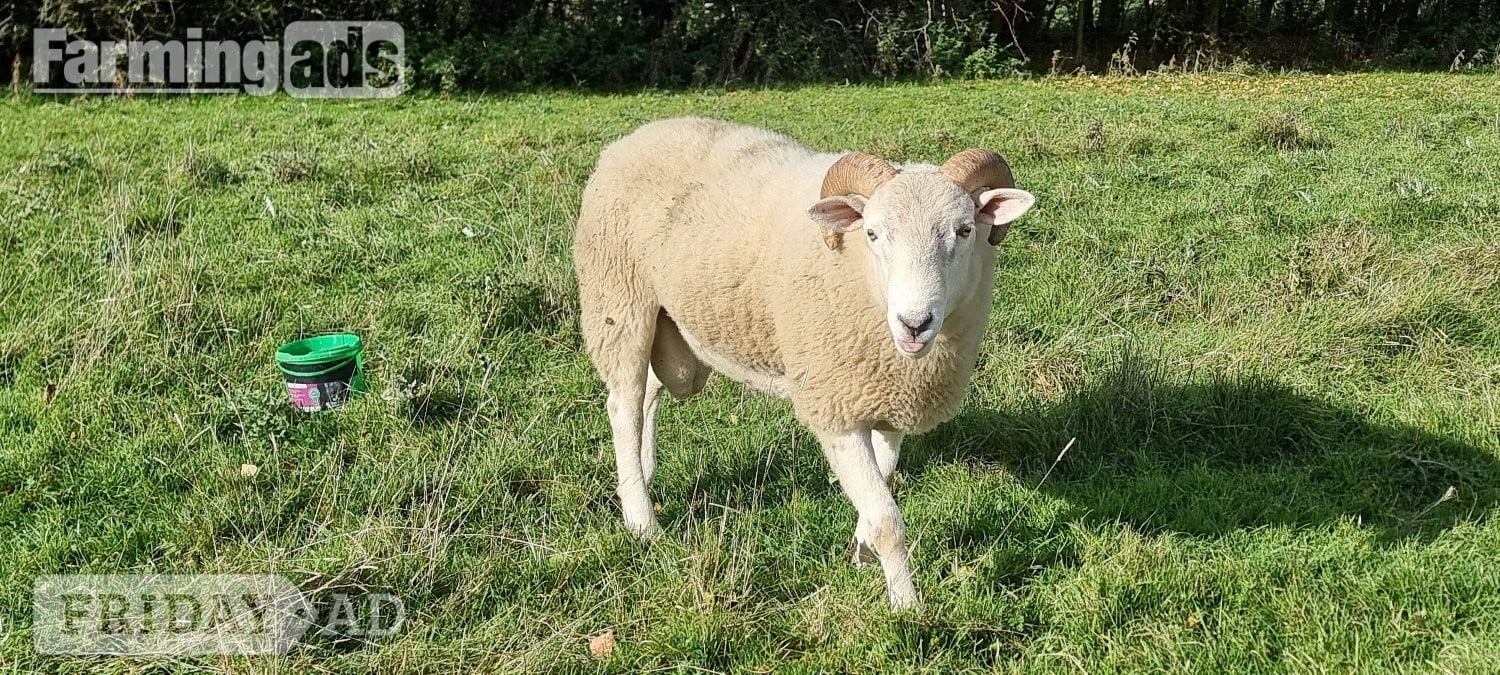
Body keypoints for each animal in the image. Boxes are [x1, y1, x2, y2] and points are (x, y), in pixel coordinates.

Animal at [572, 117, 1036, 610]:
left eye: (965, 230)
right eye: (873, 234)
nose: (915, 324)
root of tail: (633, 137)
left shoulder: (890, 398)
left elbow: (883, 481)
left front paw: (862, 550)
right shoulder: (835, 407)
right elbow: (888, 520)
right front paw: (907, 606)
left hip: (674, 331)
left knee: (649, 396)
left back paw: (640, 476)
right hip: (619, 302)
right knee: (624, 406)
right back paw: (642, 522)